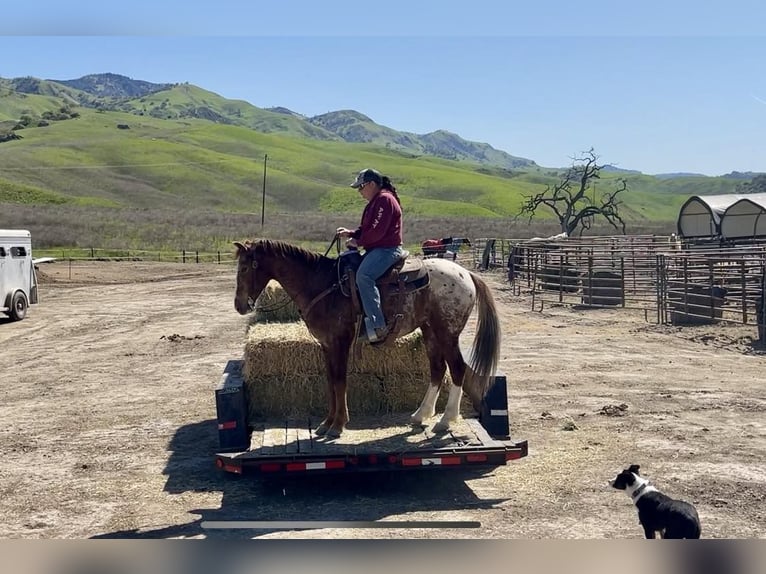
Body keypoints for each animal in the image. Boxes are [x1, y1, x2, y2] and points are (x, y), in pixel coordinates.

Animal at [234, 241, 504, 438]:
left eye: (245, 268)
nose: (239, 305)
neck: (321, 284)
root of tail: (466, 274)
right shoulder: (326, 345)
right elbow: (330, 382)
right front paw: (326, 422)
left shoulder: (340, 342)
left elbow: (340, 382)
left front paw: (338, 425)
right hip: (429, 331)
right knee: (437, 369)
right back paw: (421, 414)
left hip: (448, 332)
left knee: (457, 368)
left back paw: (445, 421)